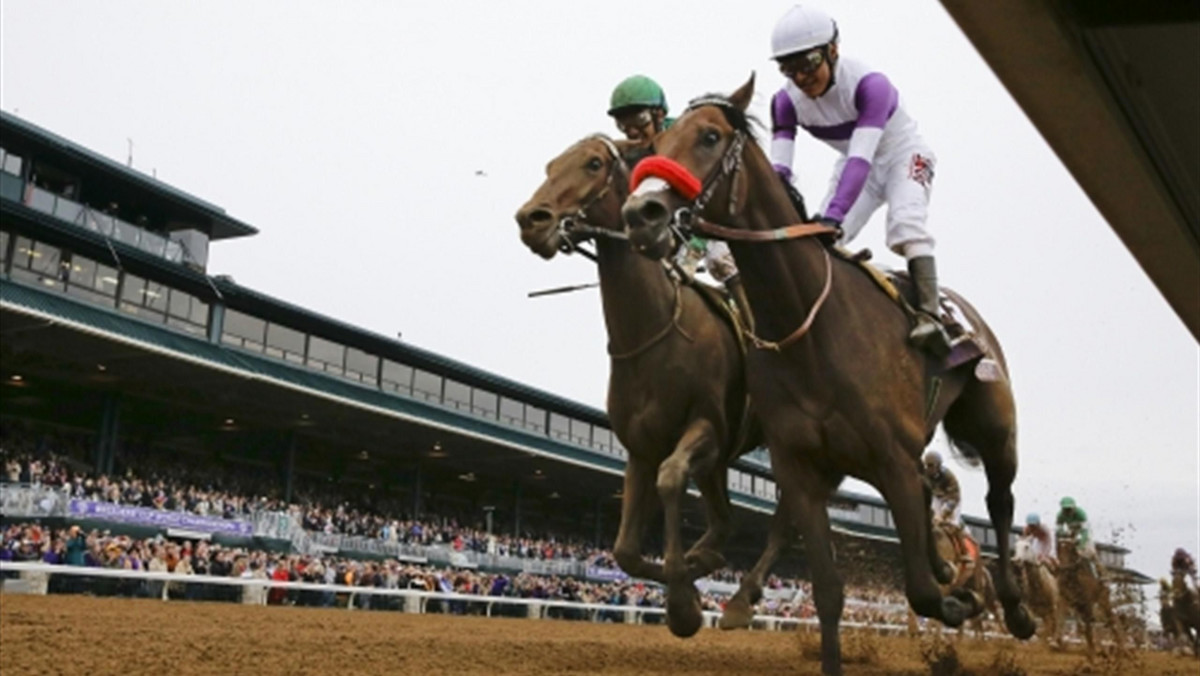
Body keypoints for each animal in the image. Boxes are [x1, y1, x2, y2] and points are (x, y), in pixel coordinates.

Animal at [516, 135, 758, 638]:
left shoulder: (706, 428)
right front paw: (690, 583)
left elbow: (671, 480)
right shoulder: (641, 447)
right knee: (725, 522)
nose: (532, 219)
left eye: (593, 163)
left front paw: (683, 604)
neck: (654, 330)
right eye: (550, 166)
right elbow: (626, 550)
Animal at [619, 74, 1032, 672]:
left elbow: (921, 592)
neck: (806, 325)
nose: (640, 213)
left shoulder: (889, 458)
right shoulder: (803, 467)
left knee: (1000, 502)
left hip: (994, 429)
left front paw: (960, 600)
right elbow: (829, 591)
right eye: (652, 146)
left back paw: (1014, 607)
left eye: (710, 136)